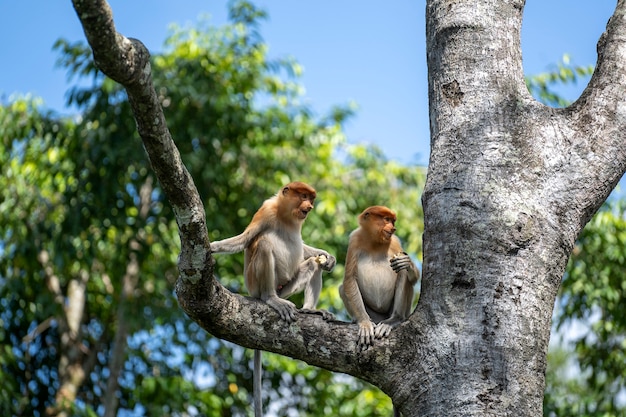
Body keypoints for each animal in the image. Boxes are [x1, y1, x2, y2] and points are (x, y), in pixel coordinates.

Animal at [210, 181, 336, 416]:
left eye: (310, 198)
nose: (309, 207)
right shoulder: (266, 210)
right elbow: (246, 238)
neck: (285, 214)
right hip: (255, 283)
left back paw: (309, 309)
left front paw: (328, 257)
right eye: (303, 196)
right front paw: (212, 246)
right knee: (264, 243)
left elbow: (305, 249)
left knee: (312, 264)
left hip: (286, 287)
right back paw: (271, 299)